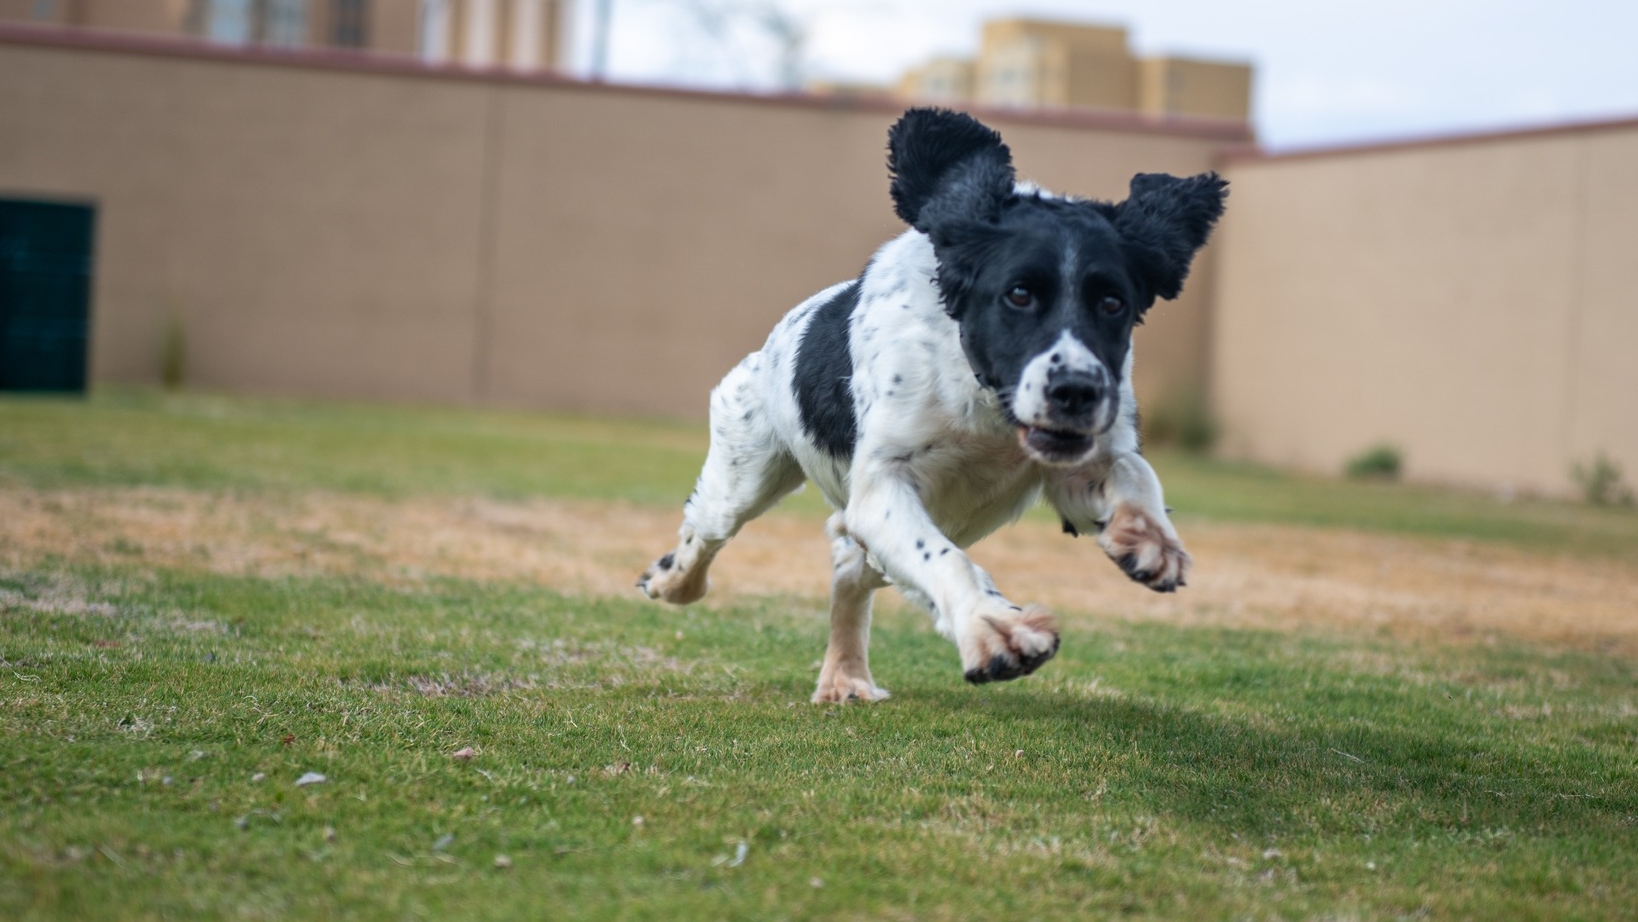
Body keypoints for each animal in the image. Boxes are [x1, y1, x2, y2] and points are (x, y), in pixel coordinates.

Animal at [638, 106, 1231, 700]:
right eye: (1019, 293)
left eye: (1113, 303)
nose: (1077, 390)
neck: (983, 397)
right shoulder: (881, 487)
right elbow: (944, 559)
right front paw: (995, 629)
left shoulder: (1077, 462)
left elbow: (1132, 472)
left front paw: (1148, 539)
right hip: (745, 470)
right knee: (705, 531)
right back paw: (672, 581)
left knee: (850, 568)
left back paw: (845, 677)